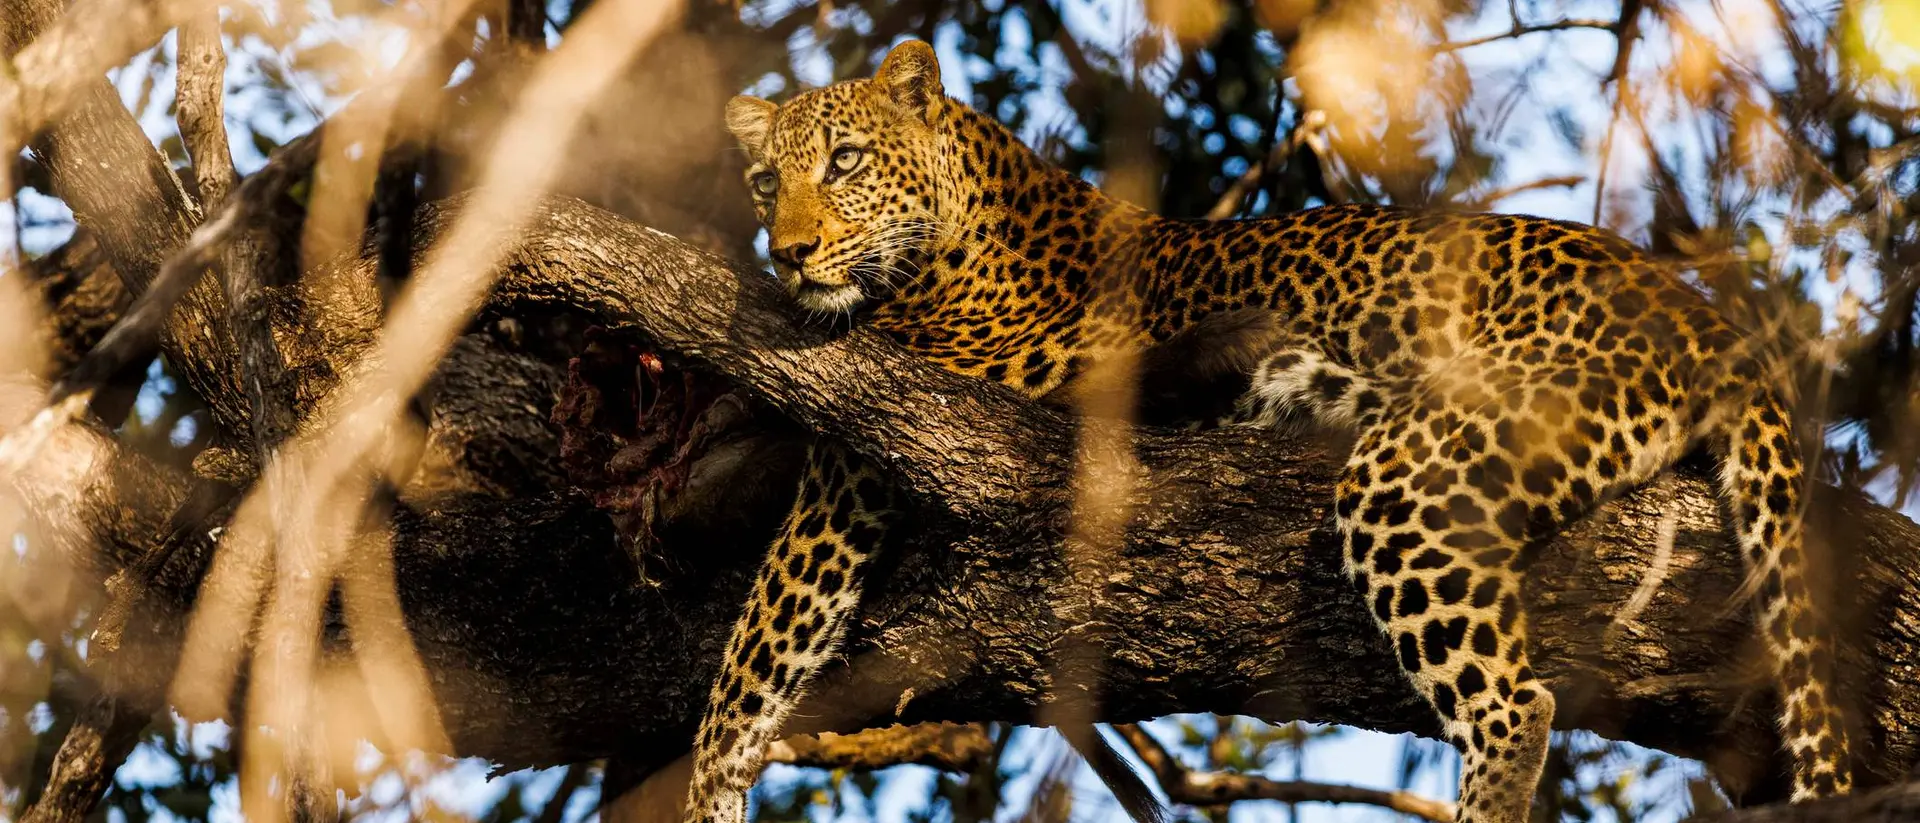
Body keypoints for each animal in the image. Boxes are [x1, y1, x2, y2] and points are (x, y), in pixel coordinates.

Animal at [686, 38, 1854, 823]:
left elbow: (750, 659)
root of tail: (1709, 319)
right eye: (766, 181)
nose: (787, 253)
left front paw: (706, 792)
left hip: (1411, 470)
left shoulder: (853, 465)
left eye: (844, 161)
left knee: (1517, 705)